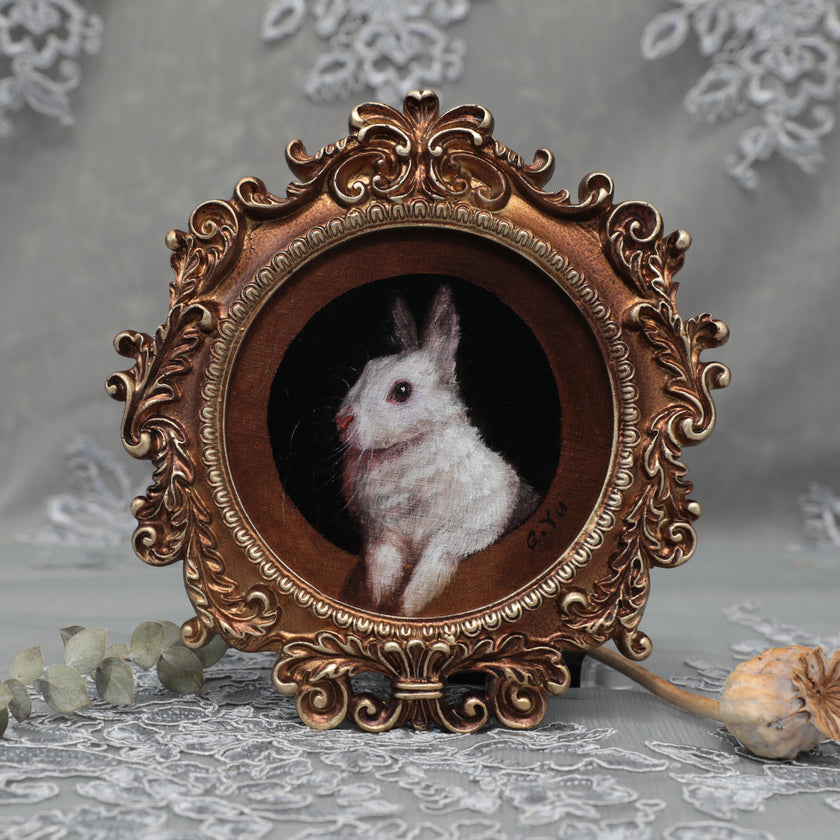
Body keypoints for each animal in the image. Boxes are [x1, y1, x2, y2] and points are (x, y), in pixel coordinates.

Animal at [335, 285, 540, 616]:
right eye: (366, 371)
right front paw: (379, 592)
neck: (407, 449)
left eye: (402, 391)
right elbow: (382, 554)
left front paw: (412, 602)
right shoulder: (381, 530)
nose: (341, 422)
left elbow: (441, 551)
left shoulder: (480, 520)